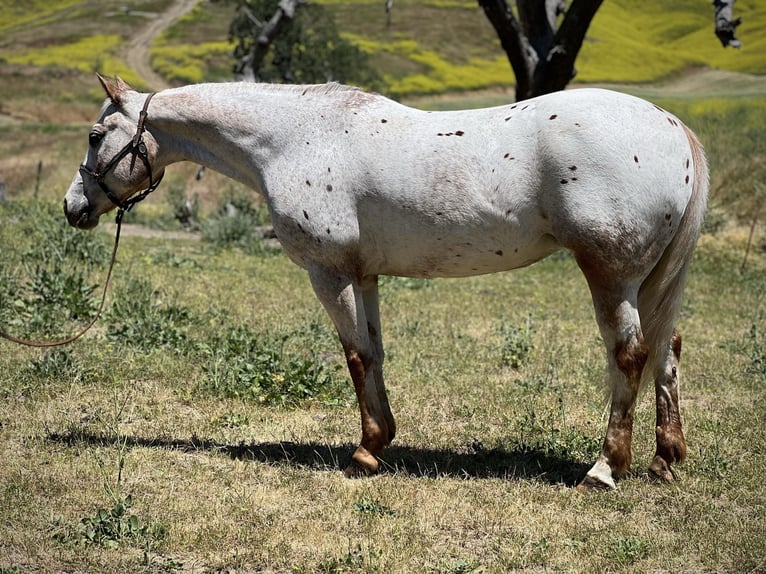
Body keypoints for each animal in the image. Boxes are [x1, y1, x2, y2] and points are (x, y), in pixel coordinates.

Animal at [64, 74, 708, 492]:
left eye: (96, 135)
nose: (74, 208)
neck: (295, 137)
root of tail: (673, 126)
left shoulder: (330, 273)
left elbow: (355, 356)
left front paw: (365, 452)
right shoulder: (364, 275)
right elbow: (373, 353)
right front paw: (383, 440)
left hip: (612, 276)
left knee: (630, 356)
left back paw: (605, 469)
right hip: (654, 281)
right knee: (666, 351)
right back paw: (664, 461)